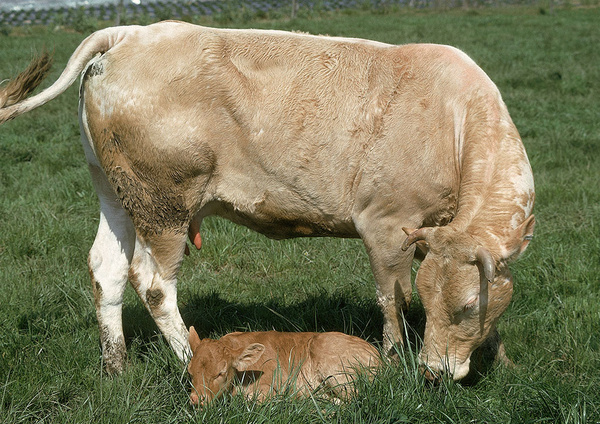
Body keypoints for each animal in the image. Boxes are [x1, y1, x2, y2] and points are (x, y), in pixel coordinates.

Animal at [0, 21, 536, 382]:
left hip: (116, 192)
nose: (434, 372)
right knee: (152, 284)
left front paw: (505, 359)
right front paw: (391, 360)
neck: (455, 122)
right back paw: (190, 359)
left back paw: (116, 366)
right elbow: (392, 298)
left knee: (105, 269)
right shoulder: (386, 225)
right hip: (163, 203)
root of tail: (131, 33)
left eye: (468, 306)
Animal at [188, 326, 380, 406]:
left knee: (356, 398)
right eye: (190, 372)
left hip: (337, 371)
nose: (196, 399)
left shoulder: (268, 389)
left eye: (220, 373)